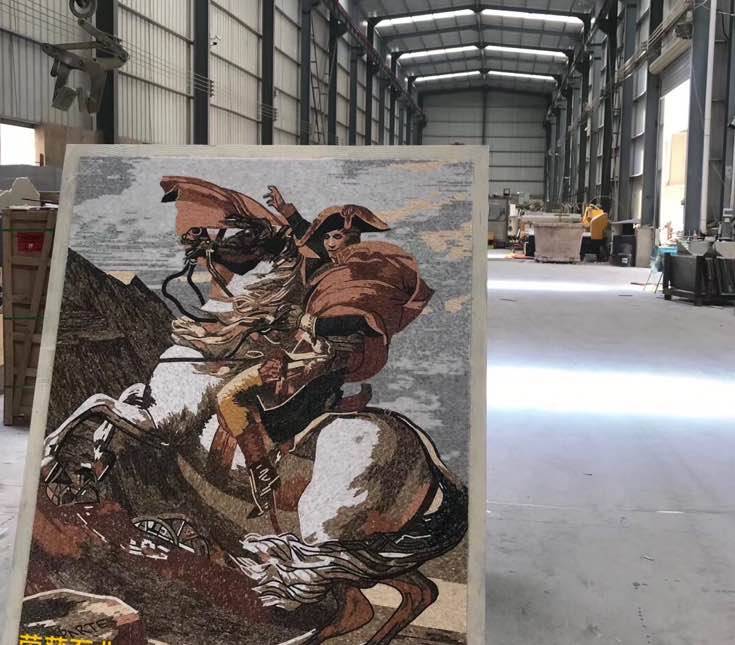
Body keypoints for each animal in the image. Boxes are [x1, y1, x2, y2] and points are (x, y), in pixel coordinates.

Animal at [39, 181, 468, 644]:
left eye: (247, 234)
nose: (194, 237)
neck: (215, 350)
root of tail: (426, 457)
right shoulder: (150, 407)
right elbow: (122, 396)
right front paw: (94, 462)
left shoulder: (159, 426)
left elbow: (97, 401)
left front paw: (52, 459)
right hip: (376, 545)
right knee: (414, 592)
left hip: (327, 530)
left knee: (352, 598)